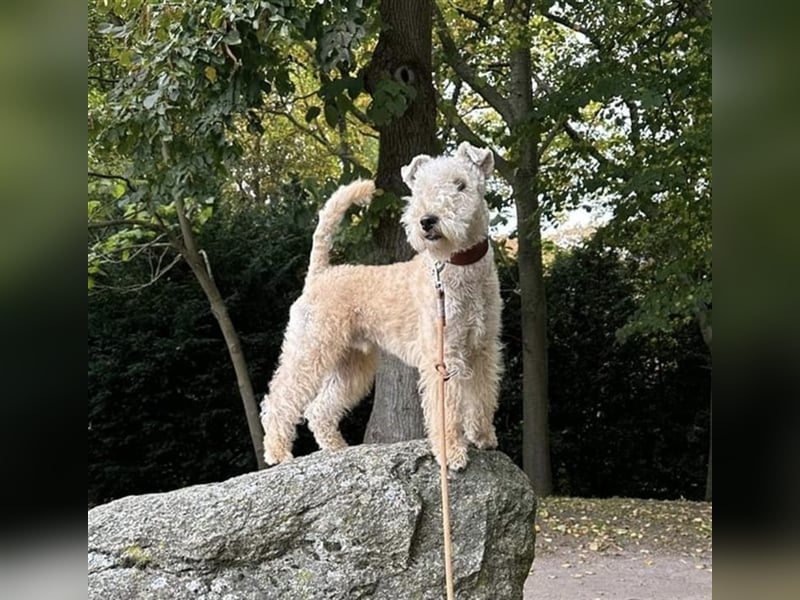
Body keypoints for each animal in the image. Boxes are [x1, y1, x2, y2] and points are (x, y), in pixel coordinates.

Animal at [260, 143, 500, 472]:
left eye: (460, 184)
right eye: (419, 188)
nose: (427, 221)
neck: (459, 267)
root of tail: (319, 274)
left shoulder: (481, 348)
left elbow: (482, 394)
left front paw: (483, 436)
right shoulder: (443, 355)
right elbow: (447, 407)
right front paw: (452, 453)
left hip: (351, 364)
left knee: (319, 408)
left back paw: (336, 448)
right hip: (311, 349)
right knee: (280, 398)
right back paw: (277, 452)